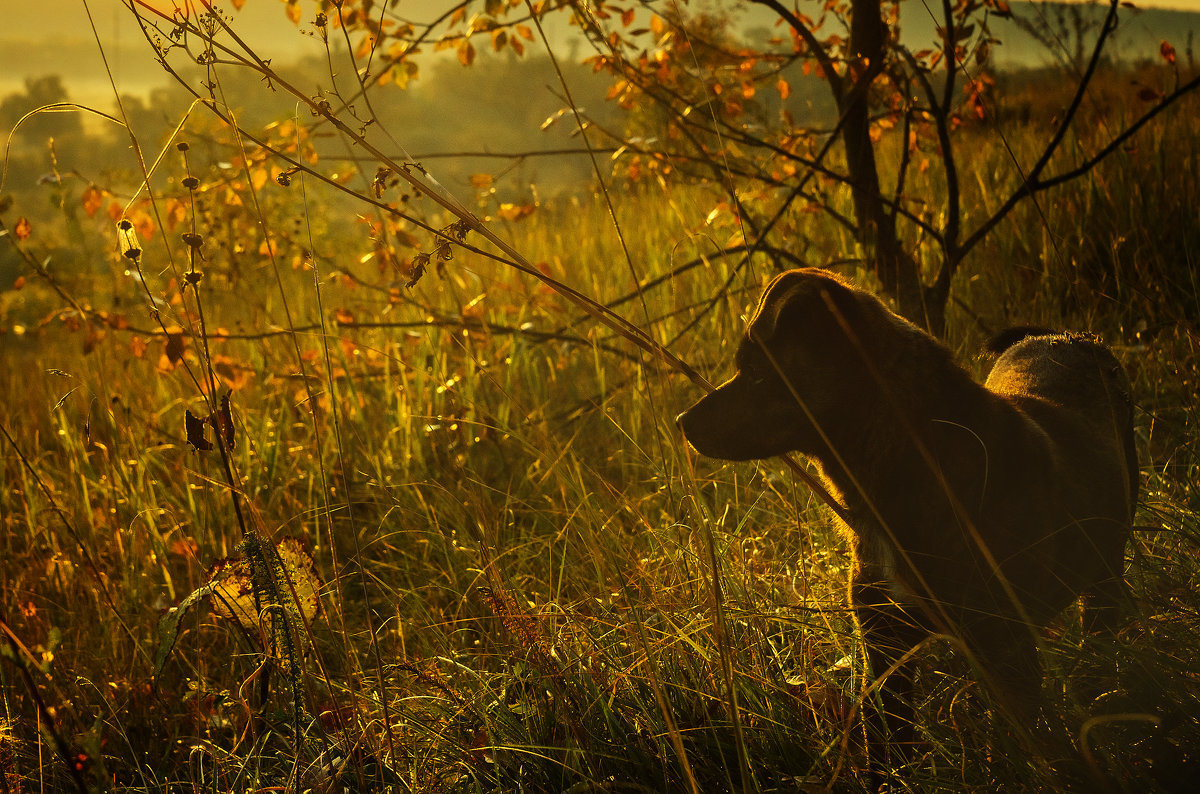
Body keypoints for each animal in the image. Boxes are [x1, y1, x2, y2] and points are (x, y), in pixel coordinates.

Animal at [681, 272, 1137, 767]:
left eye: (759, 371)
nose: (683, 421)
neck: (911, 460)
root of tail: (1072, 337)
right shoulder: (884, 645)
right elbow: (885, 745)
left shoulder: (1007, 653)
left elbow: (1015, 748)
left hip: (1106, 569)